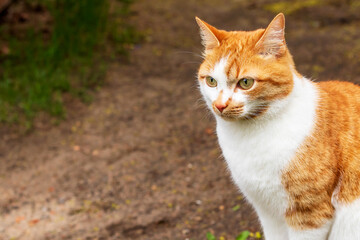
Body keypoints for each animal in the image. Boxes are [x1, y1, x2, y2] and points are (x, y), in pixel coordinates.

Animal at [195, 13, 360, 240]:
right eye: (211, 81)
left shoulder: (309, 214)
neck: (249, 137)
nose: (220, 105)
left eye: (245, 83)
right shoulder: (267, 212)